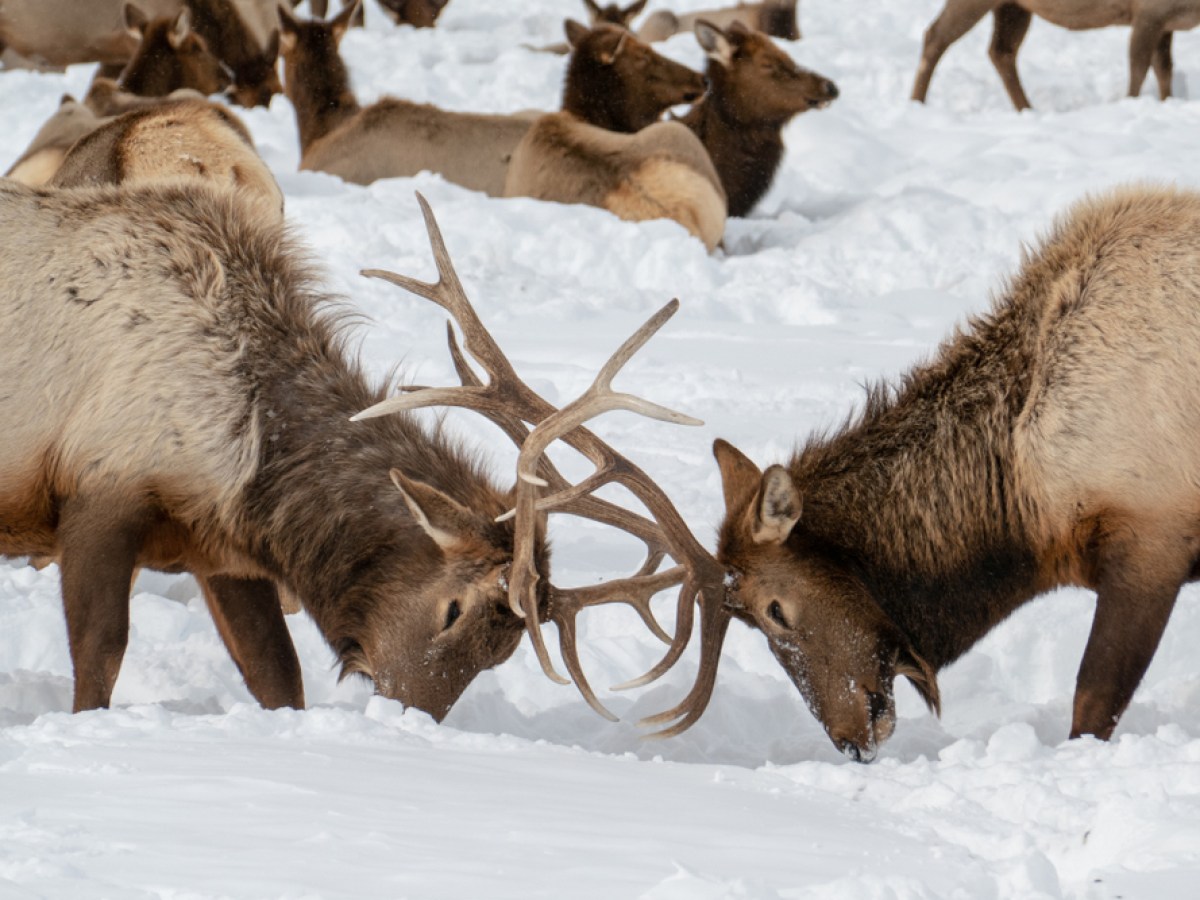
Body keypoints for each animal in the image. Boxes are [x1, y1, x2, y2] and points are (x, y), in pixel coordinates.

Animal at [912, 0, 1200, 110]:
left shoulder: (1165, 22)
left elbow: (1165, 69)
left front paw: (1168, 101)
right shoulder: (1148, 14)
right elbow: (1138, 71)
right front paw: (1131, 103)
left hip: (1013, 7)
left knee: (1001, 51)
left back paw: (1026, 108)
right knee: (935, 35)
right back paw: (917, 102)